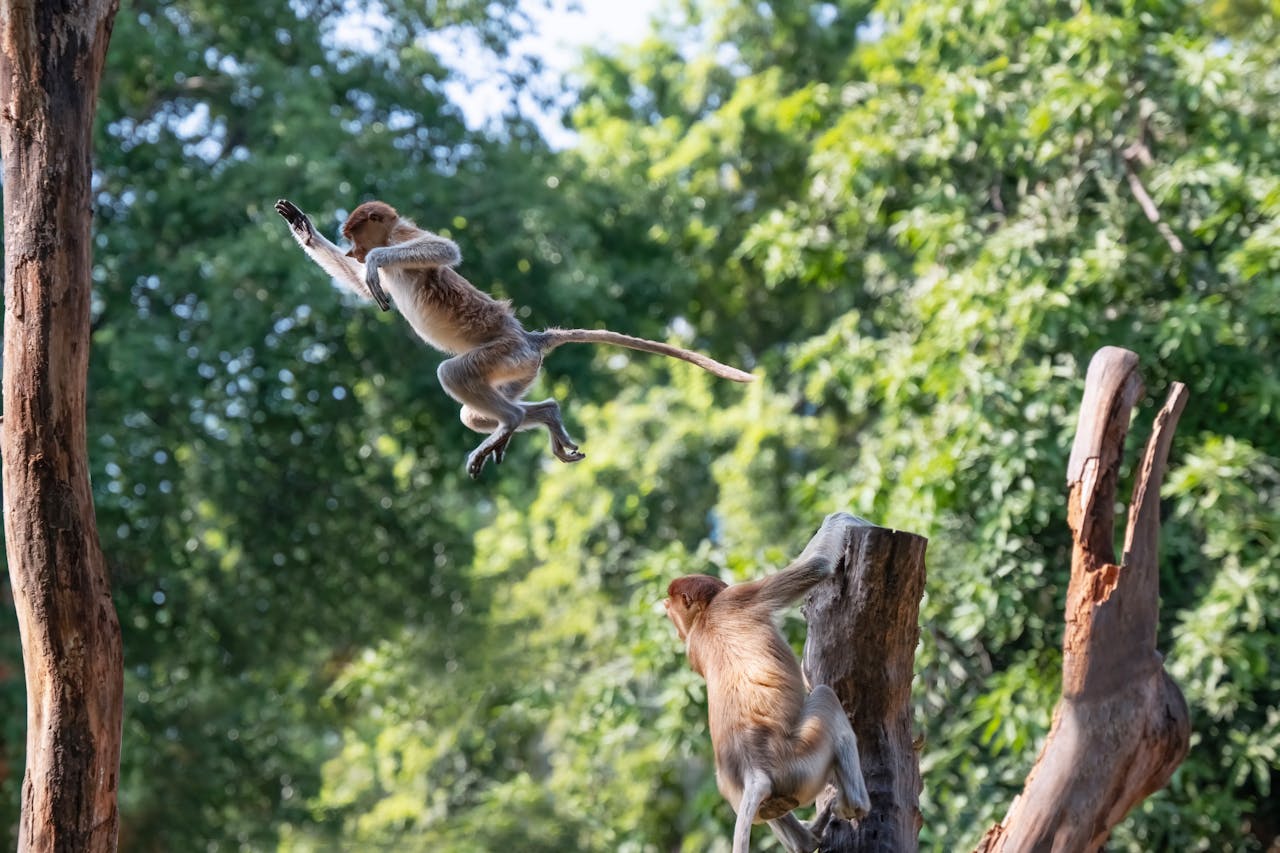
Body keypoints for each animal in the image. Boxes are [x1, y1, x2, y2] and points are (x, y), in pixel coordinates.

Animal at [275, 198, 753, 478]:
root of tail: (531, 338)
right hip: (517, 372)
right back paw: (544, 415)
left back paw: (511, 422)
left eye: (355, 236)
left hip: (505, 354)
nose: (354, 251)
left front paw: (374, 260)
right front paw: (302, 228)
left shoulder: (404, 237)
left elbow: (443, 250)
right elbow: (362, 287)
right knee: (474, 413)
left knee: (453, 374)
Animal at [663, 512, 872, 853]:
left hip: (740, 789)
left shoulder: (697, 640)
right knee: (826, 698)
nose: (675, 626)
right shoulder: (739, 595)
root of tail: (756, 770)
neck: (707, 613)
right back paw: (853, 806)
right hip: (803, 759)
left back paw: (807, 838)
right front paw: (845, 517)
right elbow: (817, 566)